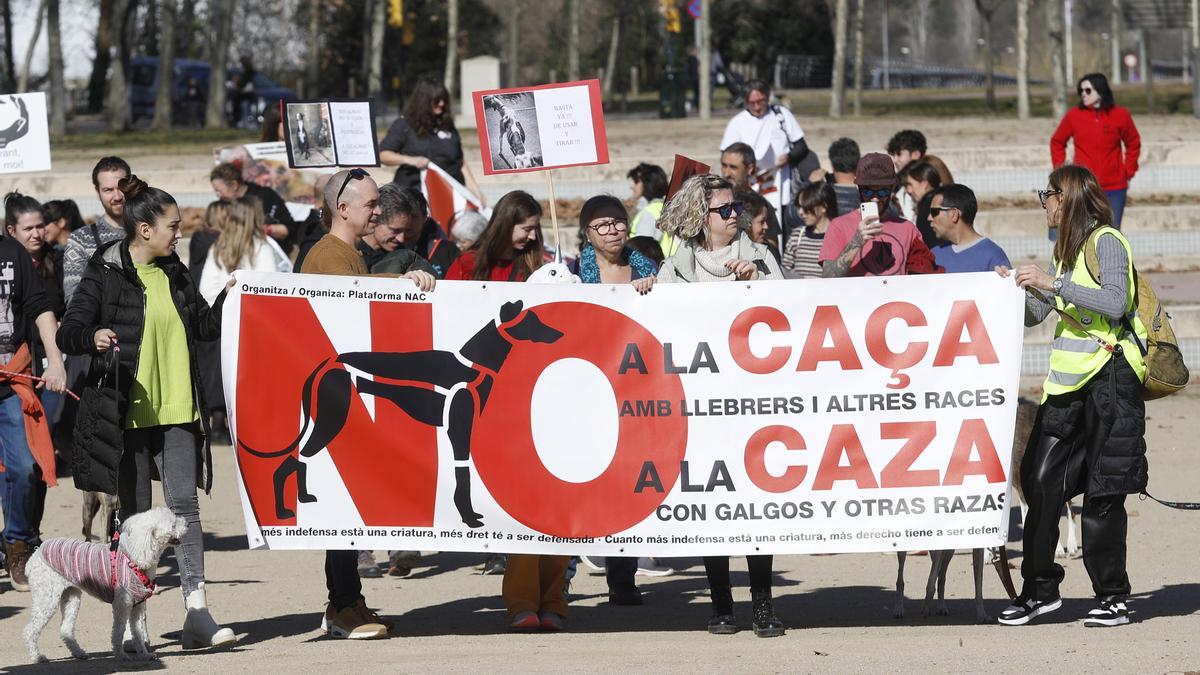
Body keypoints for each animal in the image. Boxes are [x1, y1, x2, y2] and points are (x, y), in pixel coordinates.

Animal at [22, 506, 187, 658]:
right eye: (173, 525)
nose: (187, 523)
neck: (136, 557)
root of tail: (36, 554)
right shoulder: (122, 605)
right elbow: (118, 632)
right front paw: (120, 655)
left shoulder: (137, 607)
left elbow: (138, 633)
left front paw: (144, 655)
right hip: (47, 598)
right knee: (30, 630)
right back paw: (37, 657)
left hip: (71, 596)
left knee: (65, 630)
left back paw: (79, 653)